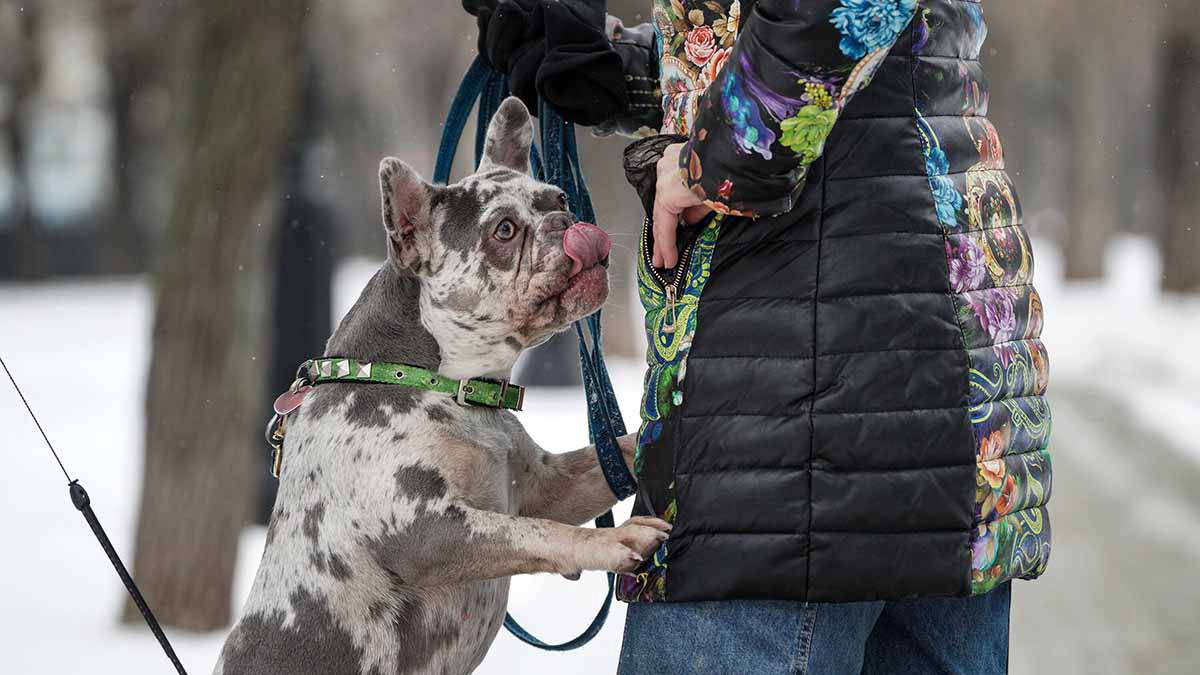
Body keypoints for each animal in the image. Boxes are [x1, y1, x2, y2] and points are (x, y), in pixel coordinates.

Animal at [213, 96, 667, 672]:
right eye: (504, 231)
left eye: (559, 197)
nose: (568, 221)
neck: (452, 386)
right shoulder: (428, 527)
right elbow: (537, 533)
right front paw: (620, 539)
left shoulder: (548, 486)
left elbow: (611, 458)